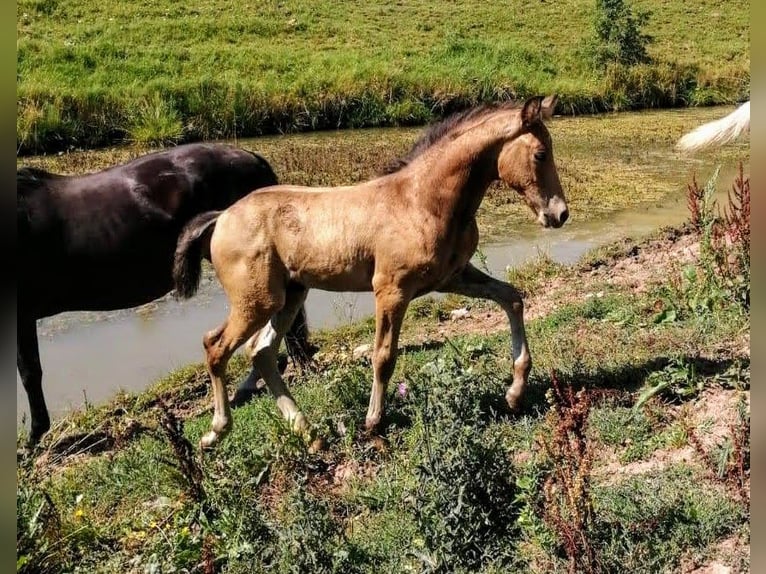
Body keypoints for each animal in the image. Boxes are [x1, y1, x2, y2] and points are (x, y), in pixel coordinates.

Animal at [172, 94, 568, 449]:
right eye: (540, 154)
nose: (560, 214)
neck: (421, 201)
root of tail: (221, 217)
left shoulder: (453, 276)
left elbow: (512, 298)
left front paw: (515, 393)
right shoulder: (391, 289)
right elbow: (383, 355)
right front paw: (374, 422)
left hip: (290, 295)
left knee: (262, 352)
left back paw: (310, 434)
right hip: (257, 300)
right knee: (216, 346)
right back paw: (215, 433)